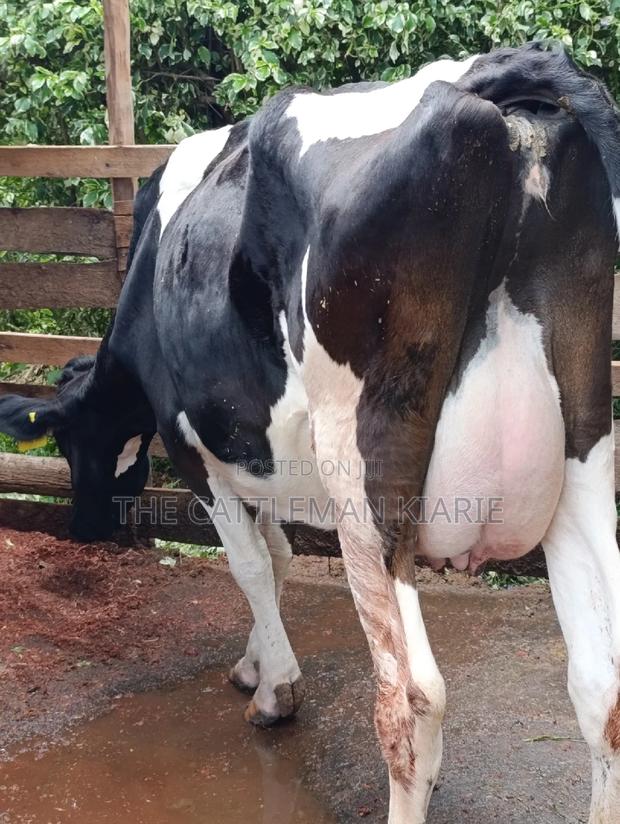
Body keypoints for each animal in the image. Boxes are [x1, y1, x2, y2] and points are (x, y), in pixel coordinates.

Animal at [1, 42, 620, 822]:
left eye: (70, 441)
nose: (85, 528)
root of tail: (498, 76)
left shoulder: (198, 450)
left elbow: (252, 563)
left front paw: (274, 690)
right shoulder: (257, 453)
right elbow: (279, 555)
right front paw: (254, 663)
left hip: (365, 470)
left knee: (411, 697)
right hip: (584, 444)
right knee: (604, 687)